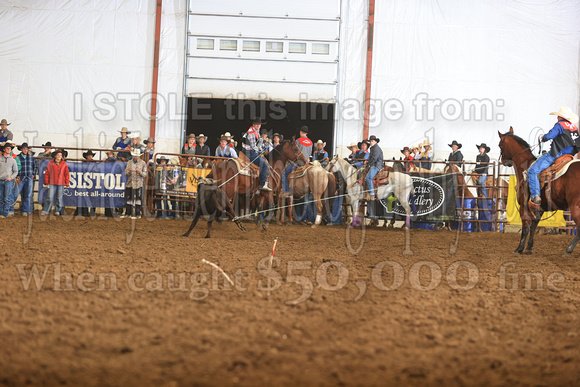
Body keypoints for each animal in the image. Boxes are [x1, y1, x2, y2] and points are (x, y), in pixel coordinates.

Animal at [496, 126, 580, 255]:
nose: (504, 160)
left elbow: (526, 226)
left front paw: (519, 248)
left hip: (575, 206)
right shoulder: (539, 208)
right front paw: (529, 248)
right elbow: (534, 226)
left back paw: (568, 250)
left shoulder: (524, 205)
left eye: (500, 145)